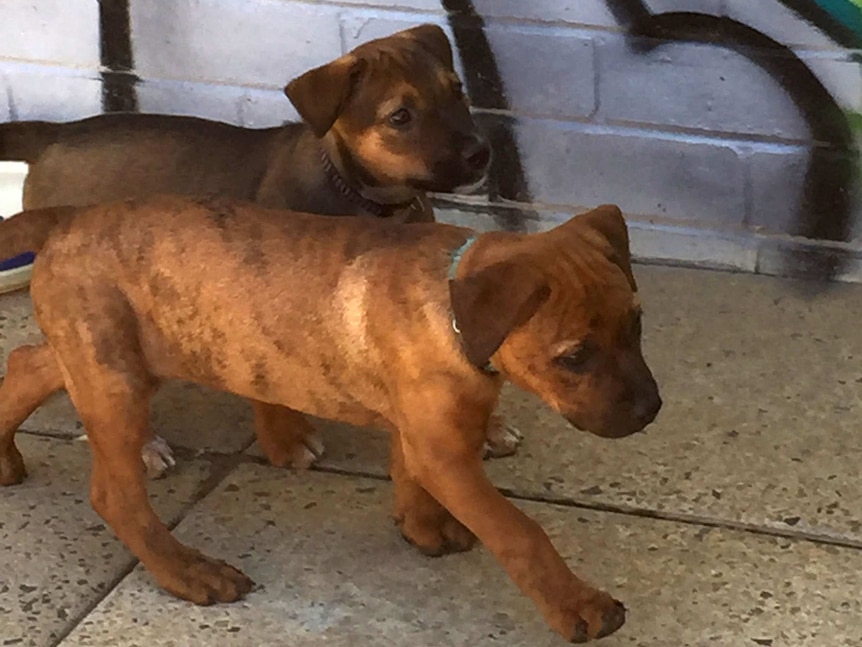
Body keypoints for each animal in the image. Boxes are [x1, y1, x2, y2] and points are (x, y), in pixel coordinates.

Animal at [0, 22, 510, 476]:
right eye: (400, 117)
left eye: (458, 91)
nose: (481, 153)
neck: (364, 197)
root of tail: (57, 134)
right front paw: (285, 441)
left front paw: (485, 431)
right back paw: (142, 445)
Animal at [0, 199, 660, 644]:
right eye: (574, 357)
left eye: (637, 323)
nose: (651, 411)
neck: (452, 314)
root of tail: (67, 219)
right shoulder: (445, 452)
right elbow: (521, 532)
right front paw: (578, 605)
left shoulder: (423, 431)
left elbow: (406, 473)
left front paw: (423, 528)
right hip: (115, 376)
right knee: (114, 495)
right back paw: (188, 573)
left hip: (118, 359)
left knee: (25, 364)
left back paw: (4, 456)